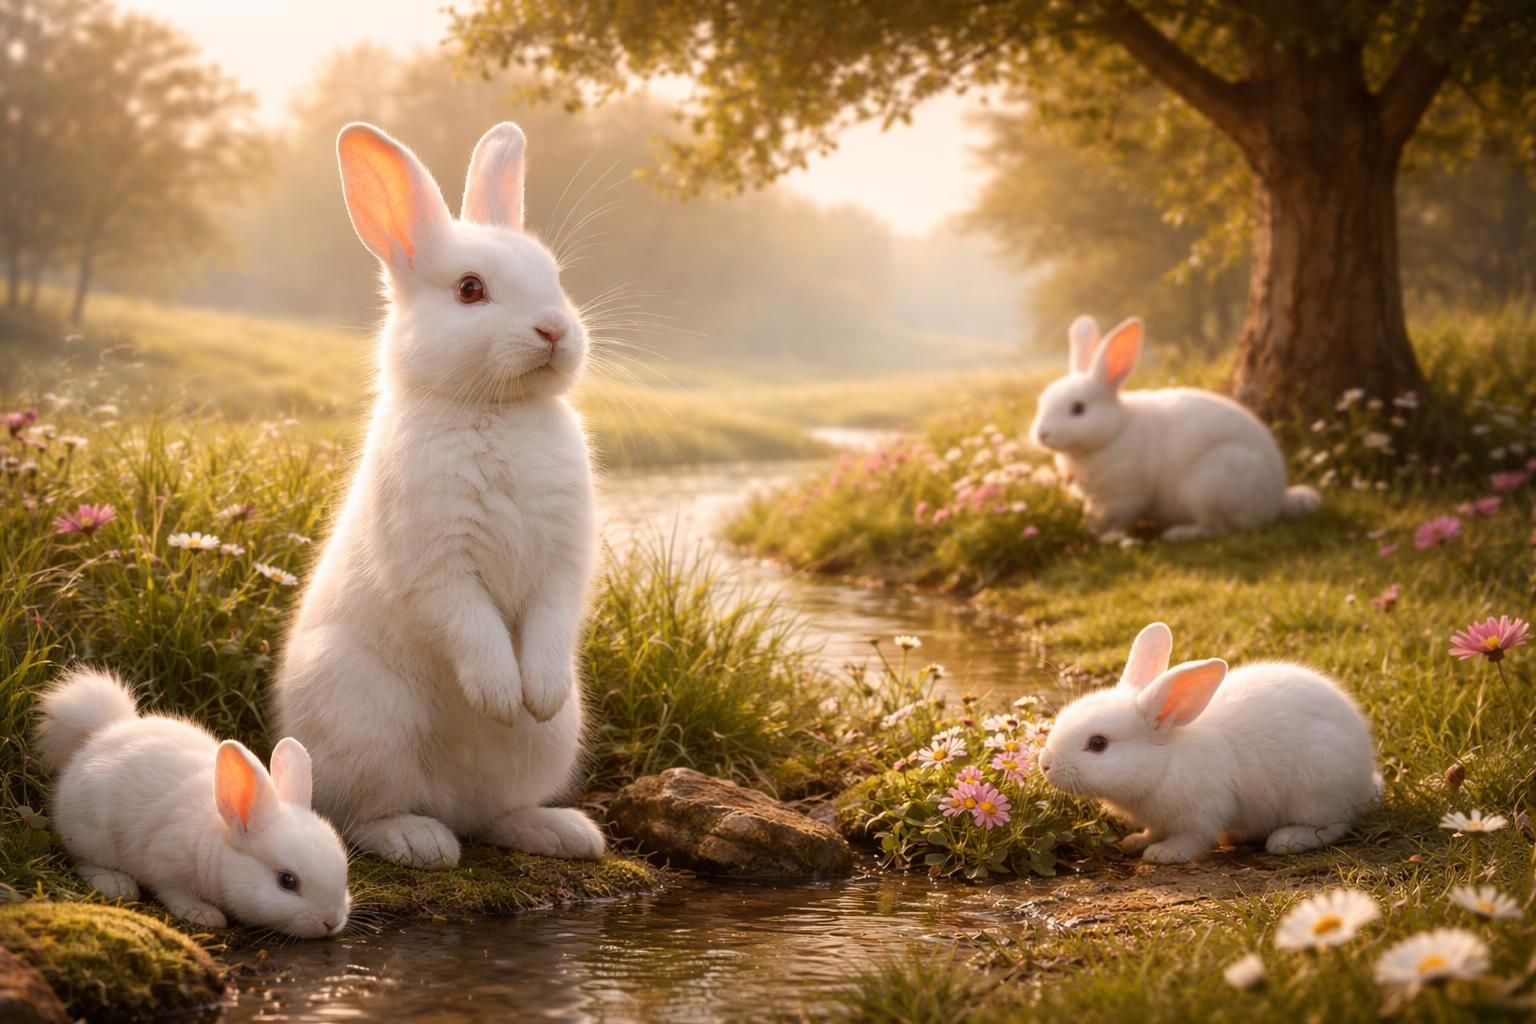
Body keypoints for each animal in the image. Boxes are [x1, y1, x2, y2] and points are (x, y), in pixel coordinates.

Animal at [35, 667, 351, 938]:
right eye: (287, 881)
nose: (331, 922)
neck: (218, 838)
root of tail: (103, 731)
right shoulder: (164, 863)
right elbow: (173, 892)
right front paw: (204, 915)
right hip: (92, 834)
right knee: (81, 859)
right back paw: (117, 885)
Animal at [270, 121, 605, 871]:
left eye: (556, 278)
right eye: (470, 290)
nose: (555, 330)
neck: (496, 410)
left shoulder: (564, 561)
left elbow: (551, 617)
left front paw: (536, 694)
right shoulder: (436, 562)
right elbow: (470, 624)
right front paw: (500, 696)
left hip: (549, 745)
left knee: (494, 815)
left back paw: (563, 832)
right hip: (366, 721)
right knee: (361, 815)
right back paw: (419, 841)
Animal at [1029, 315, 1320, 541]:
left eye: (1078, 409)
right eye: (1043, 399)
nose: (1043, 434)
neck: (1114, 431)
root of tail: (1276, 498)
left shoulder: (1123, 496)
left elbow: (1113, 521)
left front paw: (1104, 538)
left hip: (1211, 487)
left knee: (1222, 529)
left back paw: (1178, 534)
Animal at [1038, 622, 1381, 863]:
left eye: (1098, 743)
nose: (1045, 765)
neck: (1166, 761)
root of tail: (1365, 779)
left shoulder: (1203, 812)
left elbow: (1193, 838)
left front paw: (1164, 854)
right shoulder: (1160, 819)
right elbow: (1154, 830)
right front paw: (1136, 842)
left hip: (1318, 782)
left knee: (1335, 825)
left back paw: (1287, 840)